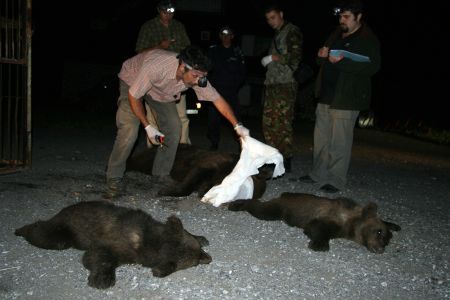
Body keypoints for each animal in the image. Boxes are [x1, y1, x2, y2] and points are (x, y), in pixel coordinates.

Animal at [14, 200, 211, 290]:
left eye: (198, 252)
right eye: (195, 261)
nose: (207, 257)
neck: (152, 241)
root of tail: (62, 211)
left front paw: (201, 237)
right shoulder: (118, 243)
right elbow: (98, 255)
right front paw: (102, 278)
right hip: (63, 230)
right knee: (46, 234)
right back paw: (21, 229)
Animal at [229, 192, 400, 253]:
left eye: (386, 240)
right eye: (378, 232)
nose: (380, 248)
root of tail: (283, 195)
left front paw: (395, 225)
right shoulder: (331, 218)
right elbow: (317, 228)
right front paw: (320, 244)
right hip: (280, 209)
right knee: (262, 210)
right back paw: (237, 204)